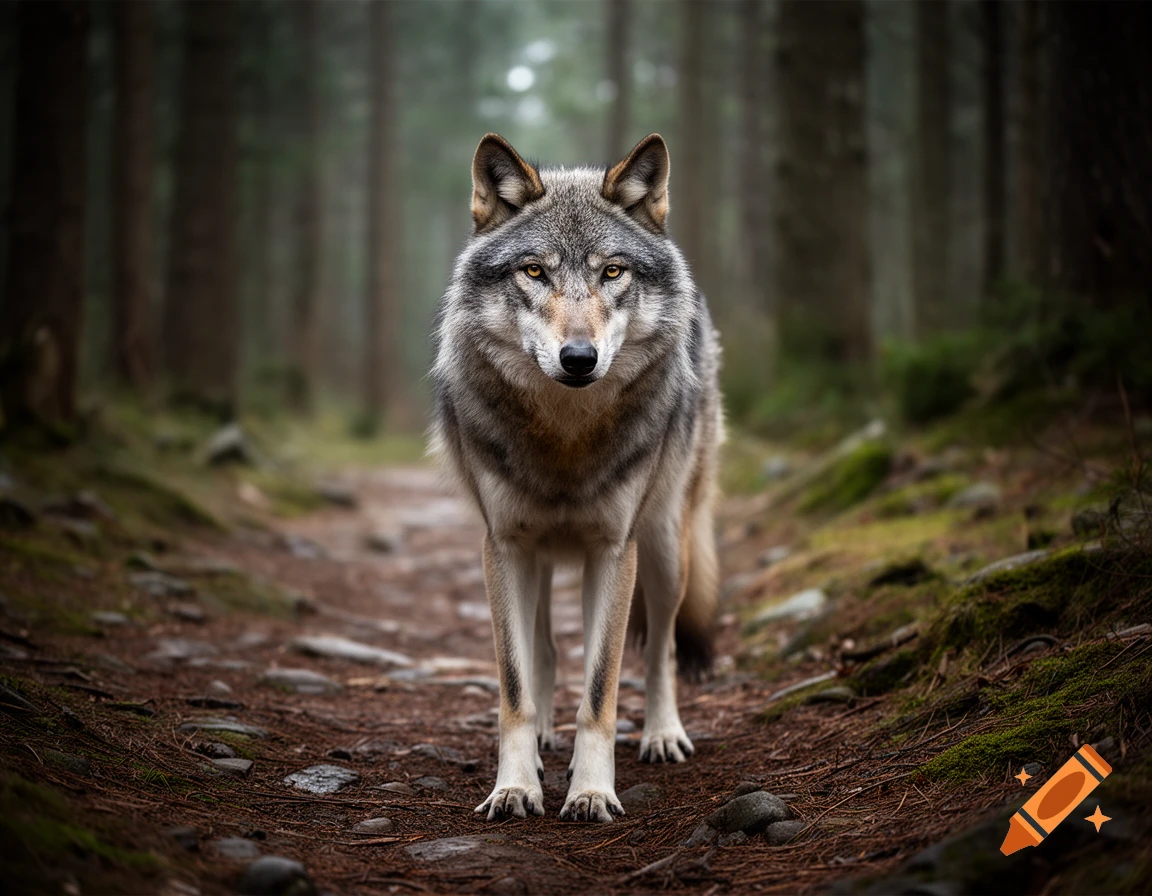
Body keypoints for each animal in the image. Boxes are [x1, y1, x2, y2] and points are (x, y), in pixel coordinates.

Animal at [429, 132, 723, 823]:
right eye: (535, 271)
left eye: (611, 272)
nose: (579, 358)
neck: (565, 439)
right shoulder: (504, 545)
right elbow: (515, 683)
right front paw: (514, 786)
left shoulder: (613, 551)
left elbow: (601, 689)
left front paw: (591, 791)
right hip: (534, 558)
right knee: (543, 649)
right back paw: (541, 740)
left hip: (665, 546)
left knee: (663, 647)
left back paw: (663, 734)